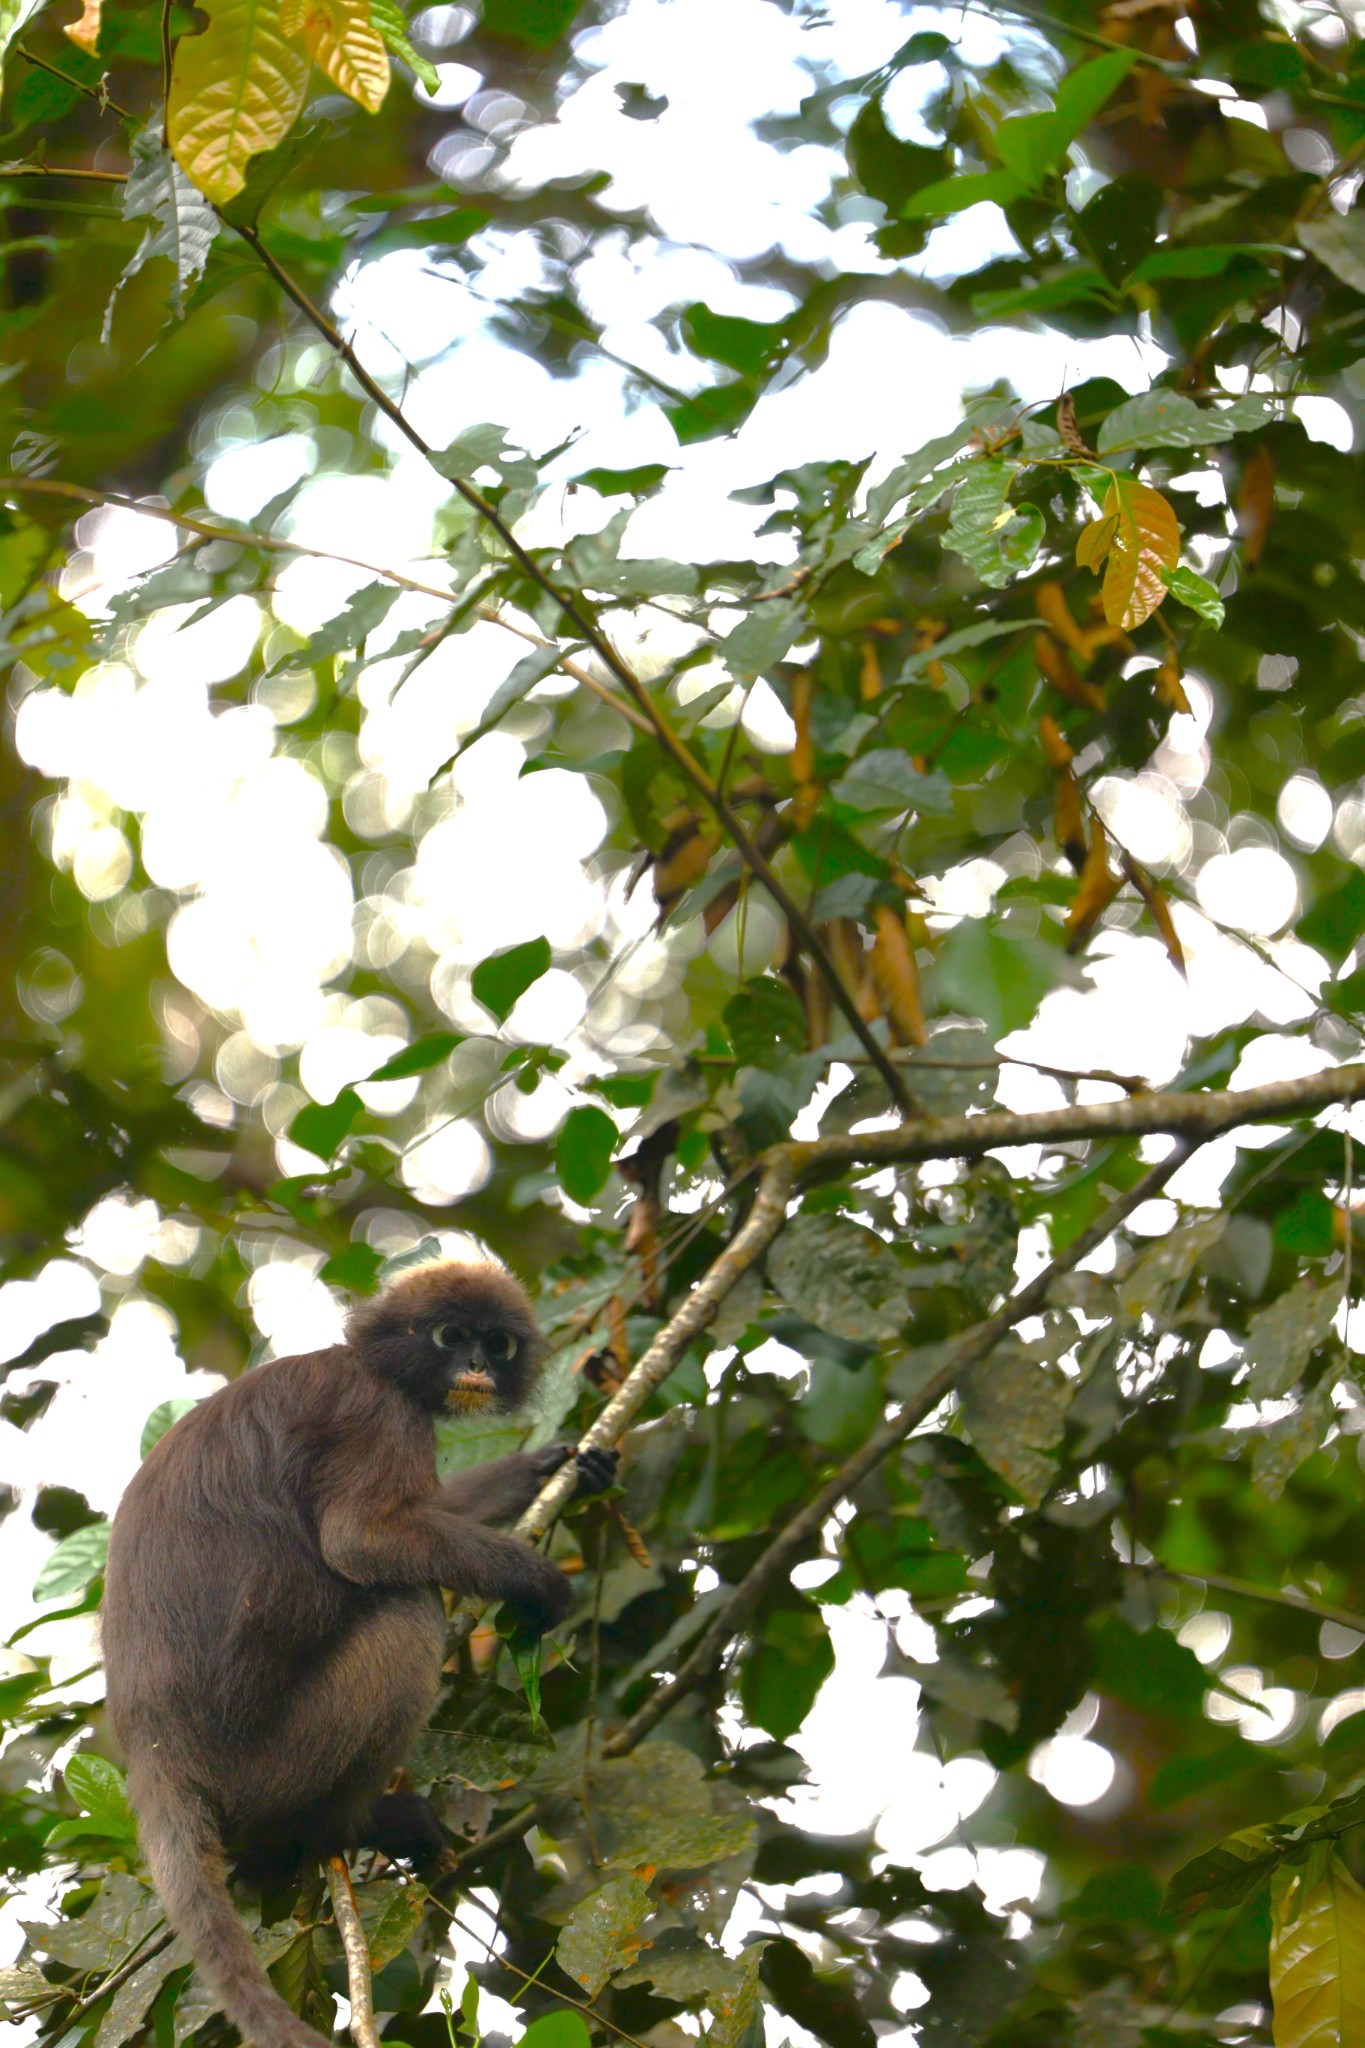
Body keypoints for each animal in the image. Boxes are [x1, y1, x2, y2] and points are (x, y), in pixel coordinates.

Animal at [104, 1253, 618, 2048]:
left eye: (495, 1343)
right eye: (450, 1336)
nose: (476, 1364)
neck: (371, 1363)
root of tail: (158, 1752)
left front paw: (549, 1468)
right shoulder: (374, 1411)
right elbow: (364, 1539)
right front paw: (538, 1582)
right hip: (274, 1762)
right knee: (407, 1608)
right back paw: (352, 1826)